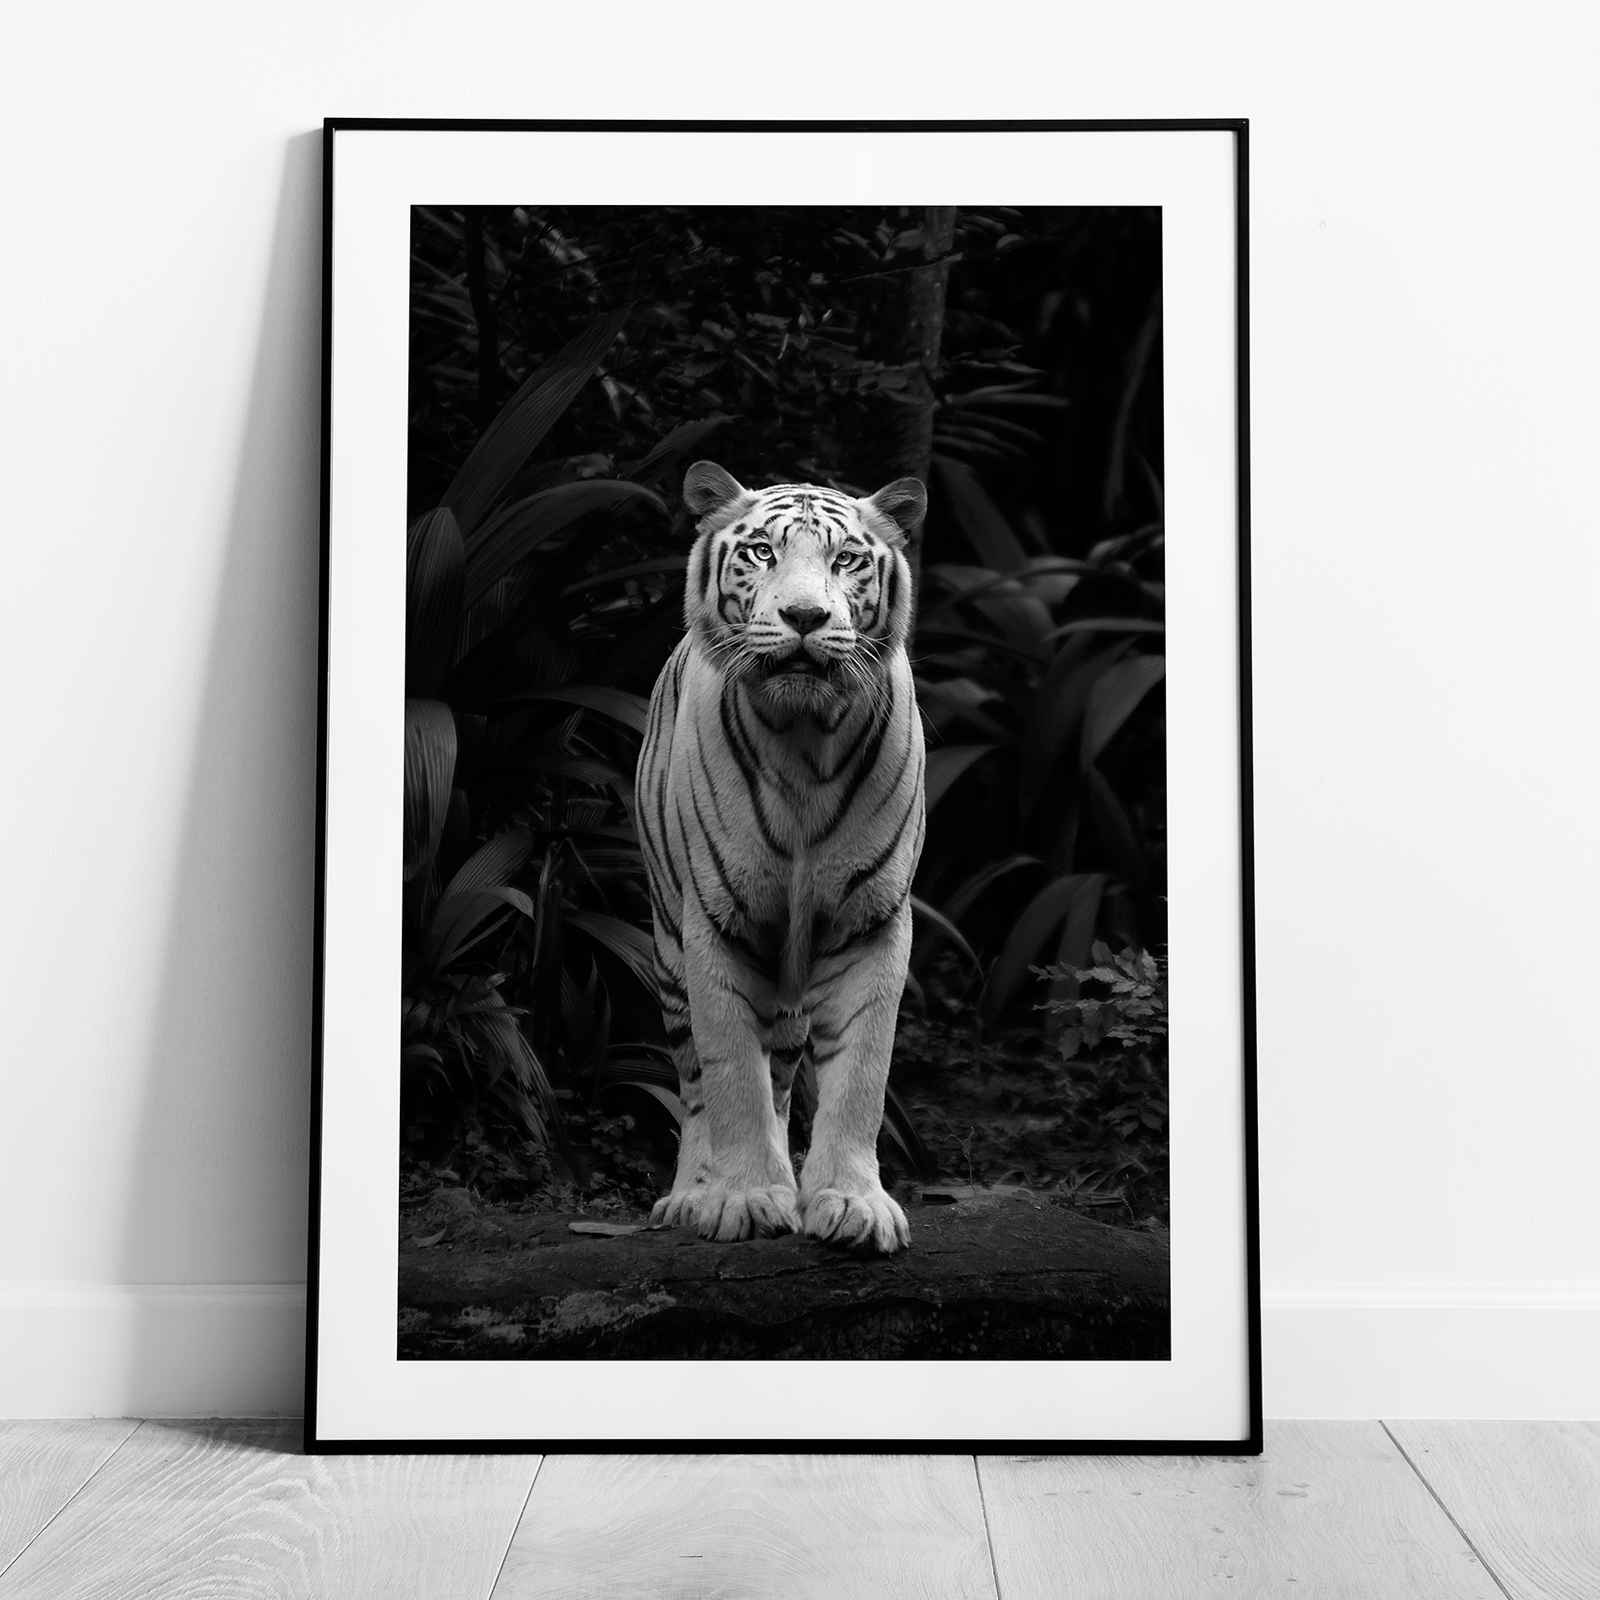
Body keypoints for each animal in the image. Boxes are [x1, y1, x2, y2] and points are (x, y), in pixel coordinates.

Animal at [634, 460, 928, 1254]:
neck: (804, 736)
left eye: (847, 559)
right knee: (695, 1084)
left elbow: (861, 1074)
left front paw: (851, 1203)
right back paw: (692, 1195)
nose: (804, 617)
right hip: (667, 947)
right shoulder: (714, 922)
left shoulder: (871, 922)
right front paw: (742, 1198)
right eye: (762, 552)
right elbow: (732, 1073)